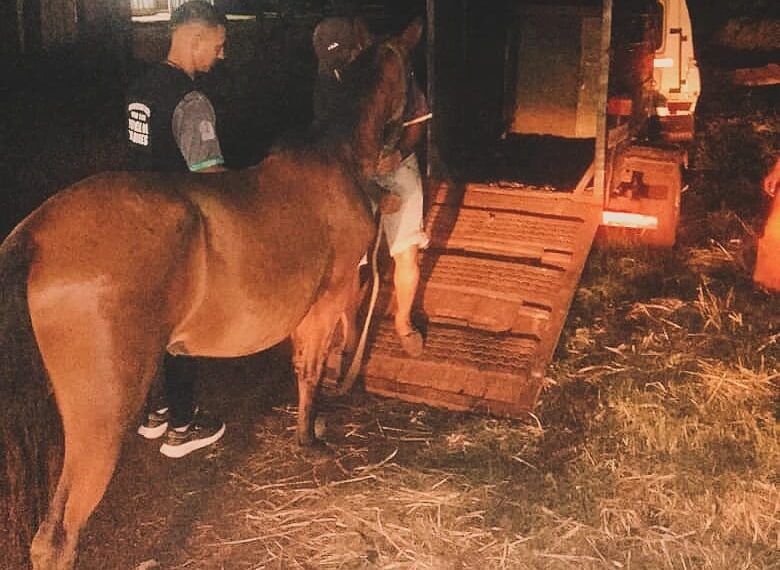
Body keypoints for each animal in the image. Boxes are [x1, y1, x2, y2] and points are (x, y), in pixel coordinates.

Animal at [0, 19, 421, 570]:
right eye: (413, 71)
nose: (413, 139)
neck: (337, 158)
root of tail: (39, 231)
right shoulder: (330, 298)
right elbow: (311, 368)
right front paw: (310, 438)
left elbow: (302, 364)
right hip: (99, 418)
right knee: (56, 537)